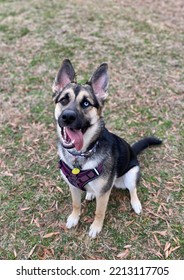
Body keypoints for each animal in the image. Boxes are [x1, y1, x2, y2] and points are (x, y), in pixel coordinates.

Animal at [51, 59, 161, 238]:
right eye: (63, 100)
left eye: (86, 103)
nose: (67, 117)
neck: (82, 155)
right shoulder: (73, 186)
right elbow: (76, 204)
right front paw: (74, 218)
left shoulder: (104, 194)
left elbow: (99, 212)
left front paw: (96, 227)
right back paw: (89, 193)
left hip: (130, 175)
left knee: (133, 190)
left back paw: (136, 204)